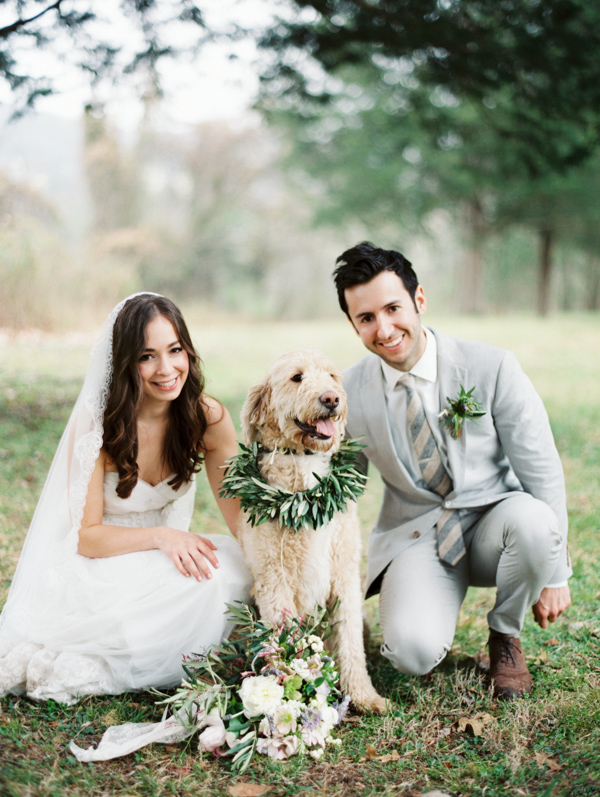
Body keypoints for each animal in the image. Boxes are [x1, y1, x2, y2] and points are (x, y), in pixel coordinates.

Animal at [234, 352, 384, 712]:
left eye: (331, 376)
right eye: (297, 377)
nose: (331, 399)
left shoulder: (344, 575)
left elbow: (350, 642)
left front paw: (363, 695)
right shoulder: (273, 580)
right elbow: (286, 642)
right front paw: (293, 692)